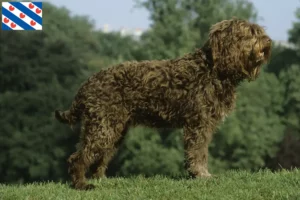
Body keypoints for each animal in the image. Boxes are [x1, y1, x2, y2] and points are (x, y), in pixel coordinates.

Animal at [54, 18, 272, 189]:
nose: (269, 41)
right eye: (250, 33)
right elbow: (198, 152)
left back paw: (101, 180)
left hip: (113, 129)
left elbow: (200, 153)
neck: (213, 69)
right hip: (103, 128)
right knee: (78, 158)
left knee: (100, 157)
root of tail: (87, 84)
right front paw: (202, 175)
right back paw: (82, 185)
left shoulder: (203, 124)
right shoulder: (198, 124)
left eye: (259, 31)